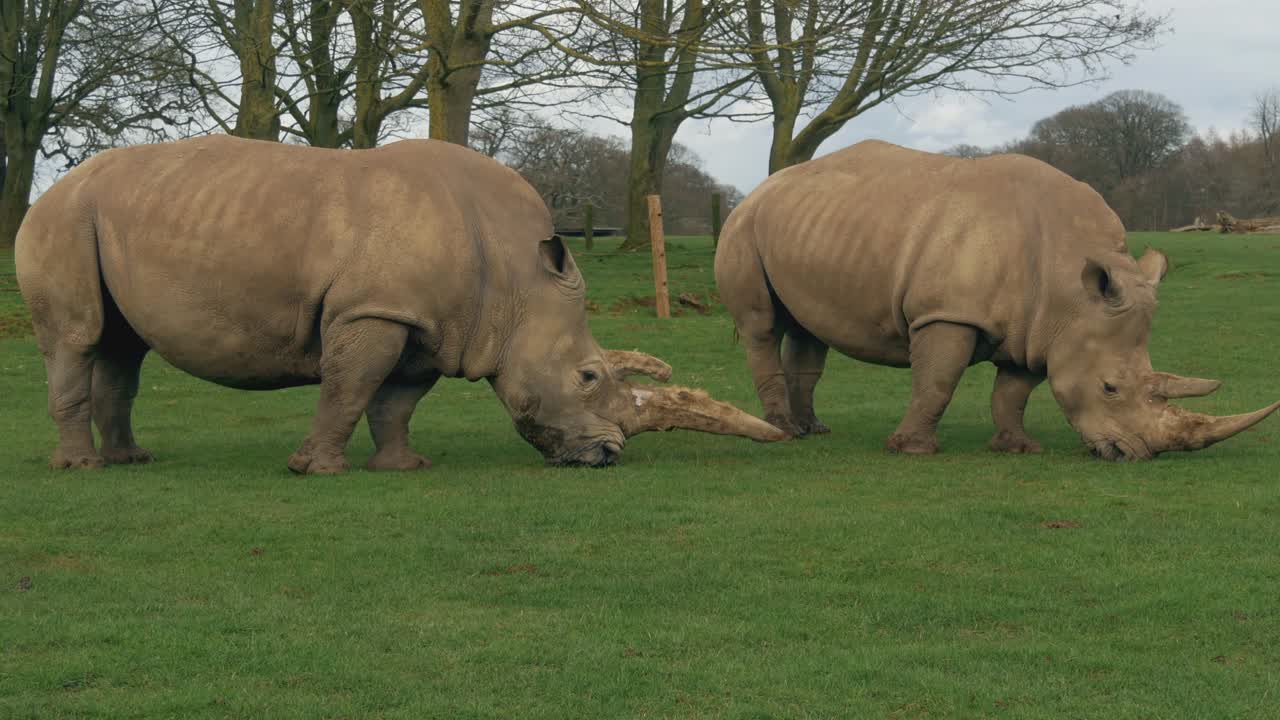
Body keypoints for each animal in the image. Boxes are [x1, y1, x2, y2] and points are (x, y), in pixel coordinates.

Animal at [16, 135, 784, 473]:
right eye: (589, 376)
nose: (606, 456)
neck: (520, 283)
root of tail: (47, 191)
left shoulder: (433, 324)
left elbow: (395, 401)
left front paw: (402, 467)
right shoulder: (374, 311)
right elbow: (348, 388)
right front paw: (317, 470)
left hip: (104, 221)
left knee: (121, 345)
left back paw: (131, 459)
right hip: (63, 221)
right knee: (77, 337)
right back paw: (82, 469)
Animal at [714, 140, 1279, 461]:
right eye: (1110, 388)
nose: (1137, 454)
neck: (1070, 289)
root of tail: (764, 185)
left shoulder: (1041, 328)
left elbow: (1014, 390)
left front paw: (1017, 448)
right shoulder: (948, 313)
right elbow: (938, 382)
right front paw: (913, 451)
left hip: (810, 225)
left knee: (808, 329)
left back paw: (814, 430)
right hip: (743, 224)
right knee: (762, 325)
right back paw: (784, 431)